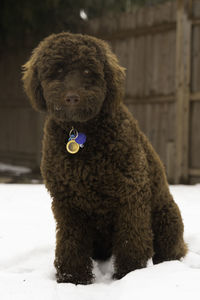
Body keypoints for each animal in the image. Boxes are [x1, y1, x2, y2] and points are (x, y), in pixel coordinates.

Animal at [22, 31, 188, 284]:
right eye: (57, 70)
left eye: (88, 71)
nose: (72, 97)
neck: (81, 131)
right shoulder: (67, 203)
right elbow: (70, 243)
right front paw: (72, 278)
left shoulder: (131, 196)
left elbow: (131, 240)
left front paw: (130, 275)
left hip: (165, 216)